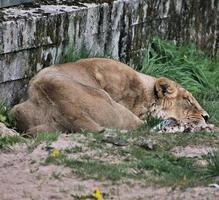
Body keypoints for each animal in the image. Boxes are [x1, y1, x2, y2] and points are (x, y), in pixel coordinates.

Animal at [10, 57, 210, 134]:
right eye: (188, 100)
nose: (207, 116)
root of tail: (70, 111)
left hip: (18, 113)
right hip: (108, 100)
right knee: (148, 127)